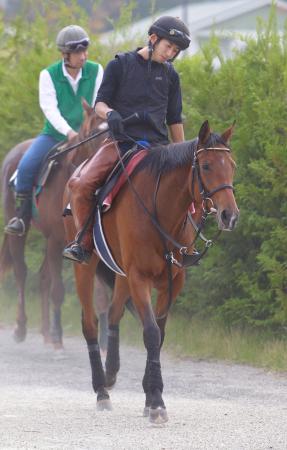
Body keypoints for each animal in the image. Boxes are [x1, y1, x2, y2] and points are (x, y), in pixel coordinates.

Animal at [0, 101, 111, 348]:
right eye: (93, 134)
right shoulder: (56, 240)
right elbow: (58, 290)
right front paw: (59, 336)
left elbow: (100, 295)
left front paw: (103, 340)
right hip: (20, 232)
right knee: (22, 273)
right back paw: (22, 328)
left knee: (43, 278)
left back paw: (46, 333)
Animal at [63, 119, 241, 422]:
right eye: (206, 166)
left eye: (231, 165)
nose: (230, 215)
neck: (162, 210)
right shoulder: (140, 278)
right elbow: (151, 332)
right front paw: (156, 401)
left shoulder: (173, 281)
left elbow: (160, 333)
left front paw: (149, 395)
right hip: (86, 268)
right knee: (90, 323)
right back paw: (101, 391)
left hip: (121, 273)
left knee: (114, 314)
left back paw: (111, 373)